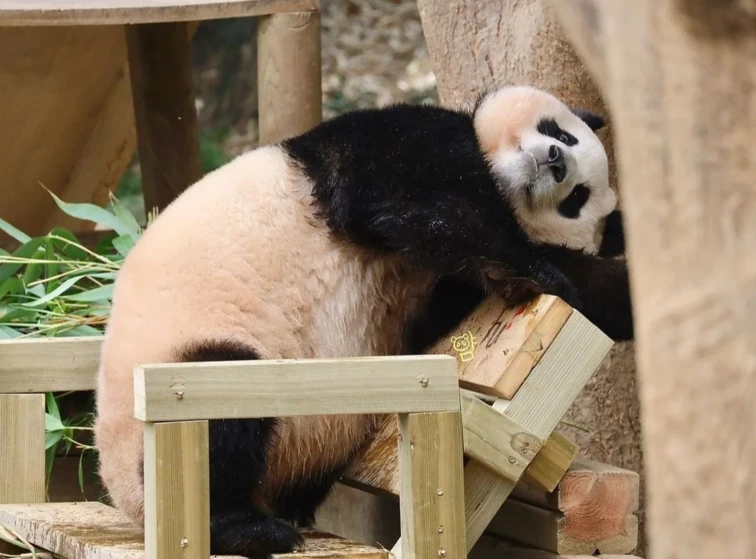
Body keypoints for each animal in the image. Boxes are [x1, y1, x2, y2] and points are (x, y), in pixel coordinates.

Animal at [93, 84, 632, 559]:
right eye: (560, 133)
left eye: (576, 198)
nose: (557, 163)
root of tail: (128, 502)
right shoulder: (387, 143)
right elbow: (411, 195)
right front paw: (538, 269)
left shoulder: (434, 296)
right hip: (180, 367)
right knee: (222, 405)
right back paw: (243, 529)